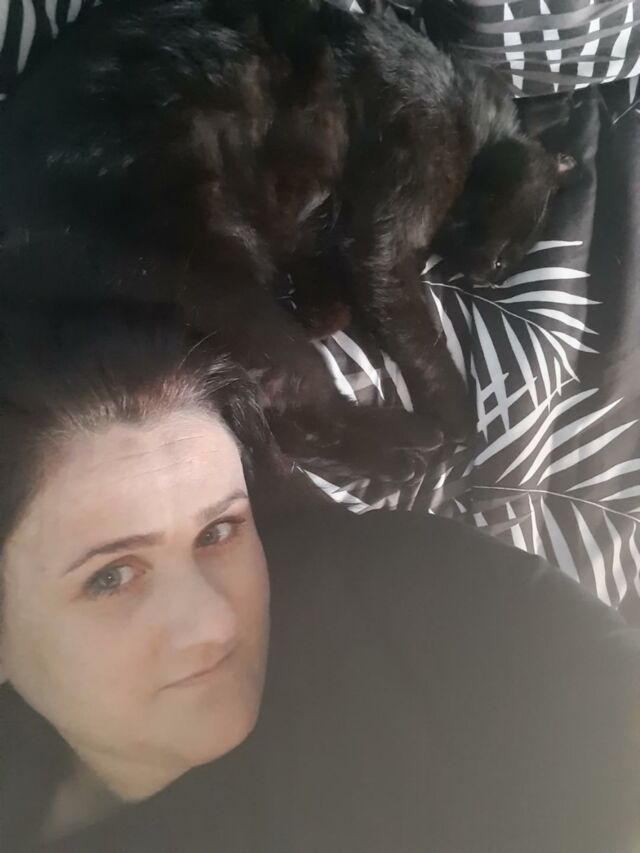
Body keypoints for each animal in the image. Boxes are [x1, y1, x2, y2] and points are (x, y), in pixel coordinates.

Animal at [0, 0, 575, 484]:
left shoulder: (324, 232)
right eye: (506, 260)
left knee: (281, 422)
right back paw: (412, 444)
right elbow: (417, 331)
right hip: (228, 295)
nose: (481, 275)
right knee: (303, 406)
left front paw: (319, 305)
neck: (470, 106)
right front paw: (459, 418)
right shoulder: (389, 226)